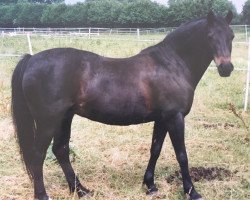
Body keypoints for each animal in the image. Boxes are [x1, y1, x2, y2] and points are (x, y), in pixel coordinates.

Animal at [11, 11, 234, 200]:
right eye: (210, 36)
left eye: (231, 36)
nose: (226, 68)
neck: (171, 64)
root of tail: (31, 59)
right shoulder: (175, 117)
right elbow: (182, 155)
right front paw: (192, 192)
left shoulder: (162, 119)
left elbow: (155, 149)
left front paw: (150, 185)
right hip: (48, 121)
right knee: (39, 154)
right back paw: (43, 195)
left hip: (65, 117)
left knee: (61, 150)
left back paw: (81, 190)